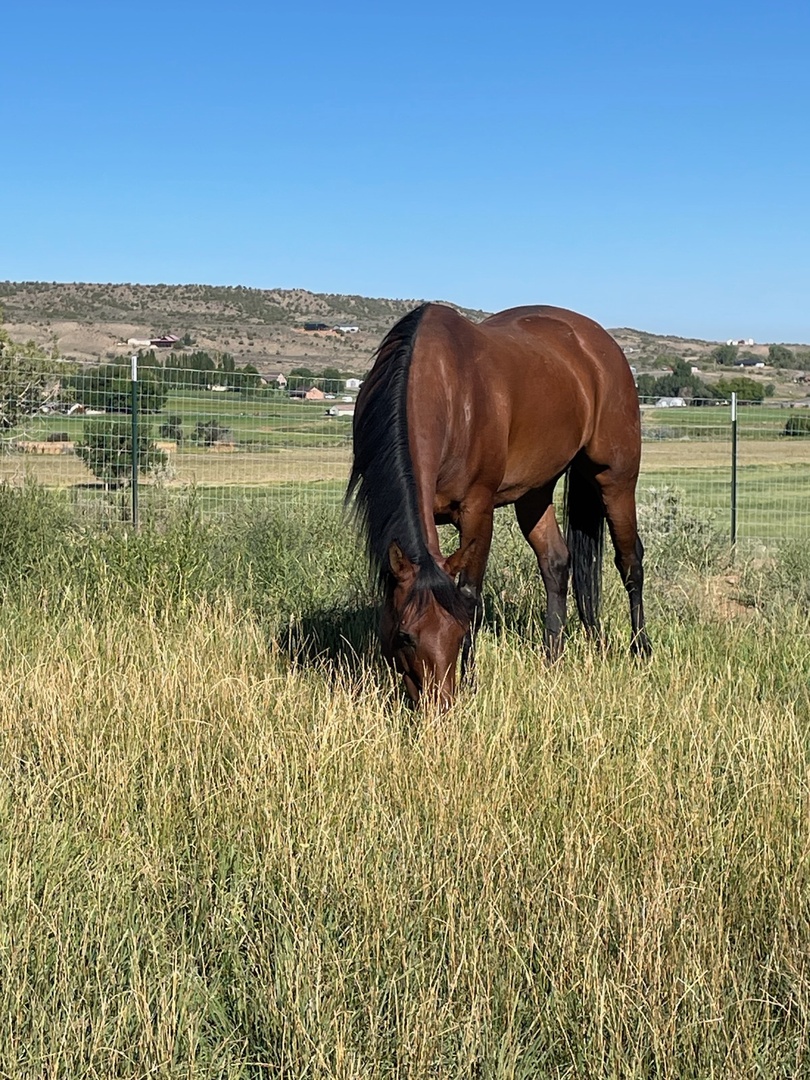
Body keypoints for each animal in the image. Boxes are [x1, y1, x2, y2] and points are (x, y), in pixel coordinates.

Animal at [347, 302, 651, 707]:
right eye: (406, 636)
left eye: (458, 631)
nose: (440, 707)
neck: (439, 385)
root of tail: (601, 344)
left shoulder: (477, 509)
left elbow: (469, 594)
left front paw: (472, 679)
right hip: (535, 491)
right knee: (556, 562)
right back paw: (552, 659)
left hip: (615, 479)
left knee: (630, 561)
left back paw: (641, 650)